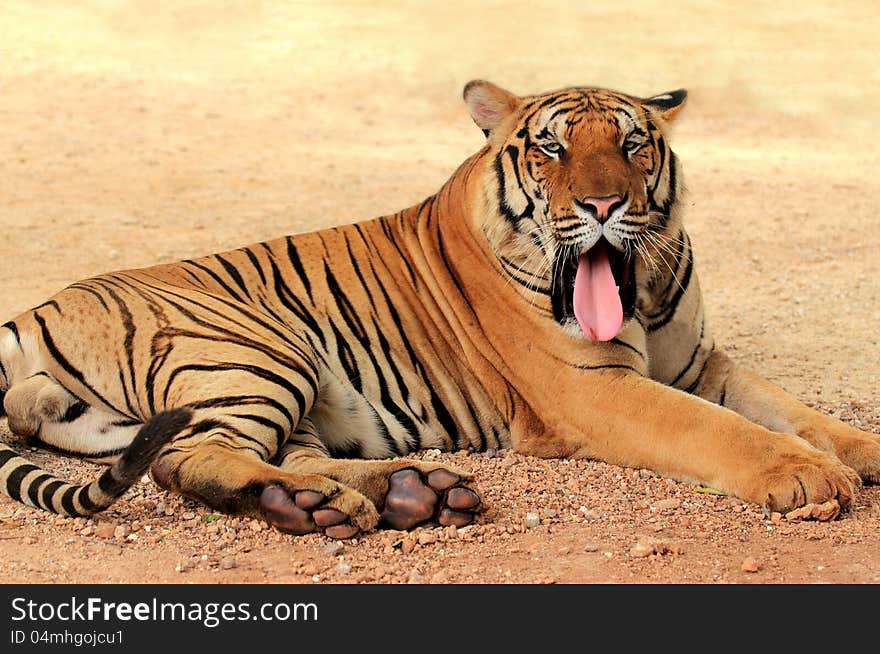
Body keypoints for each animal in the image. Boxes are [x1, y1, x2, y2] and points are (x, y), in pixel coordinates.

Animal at [1, 79, 880, 540]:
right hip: (256, 350)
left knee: (284, 455)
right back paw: (333, 505)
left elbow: (793, 411)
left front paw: (857, 452)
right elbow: (721, 431)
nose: (601, 205)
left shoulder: (700, 364)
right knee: (190, 458)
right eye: (552, 148)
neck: (641, 288)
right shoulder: (595, 388)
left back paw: (407, 493)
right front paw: (807, 478)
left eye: (633, 145)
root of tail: (43, 303)